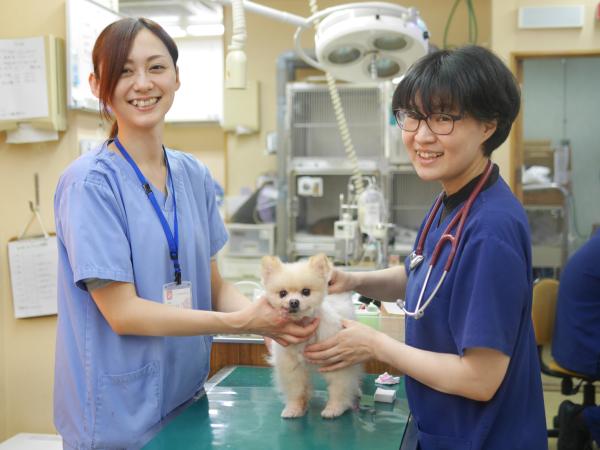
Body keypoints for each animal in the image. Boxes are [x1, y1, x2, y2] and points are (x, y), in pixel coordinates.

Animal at [262, 253, 364, 418]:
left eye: (306, 292)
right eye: (282, 293)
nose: (294, 302)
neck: (303, 325)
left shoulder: (336, 362)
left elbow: (339, 388)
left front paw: (335, 408)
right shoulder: (292, 368)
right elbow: (296, 391)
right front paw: (294, 408)